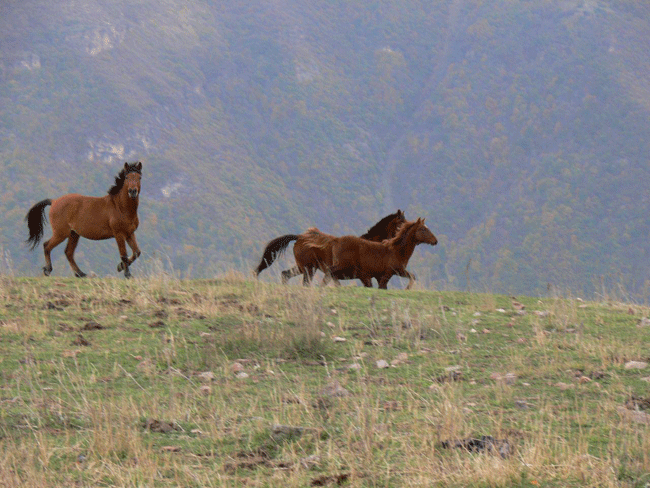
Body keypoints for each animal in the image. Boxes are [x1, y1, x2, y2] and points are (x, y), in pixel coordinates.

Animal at [254, 211, 402, 286]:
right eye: (401, 223)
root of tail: (300, 237)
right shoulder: (363, 276)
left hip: (304, 267)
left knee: (286, 274)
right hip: (308, 269)